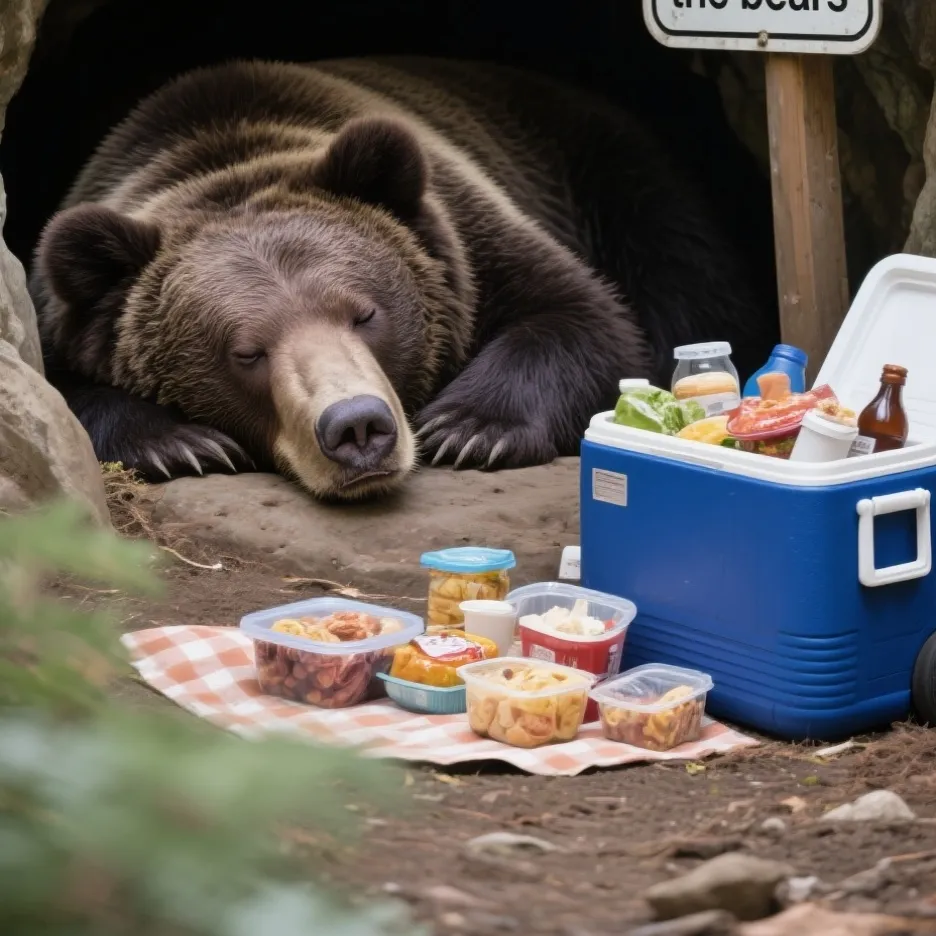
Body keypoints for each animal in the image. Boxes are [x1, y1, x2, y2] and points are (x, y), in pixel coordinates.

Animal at [29, 56, 774, 502]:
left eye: (365, 314)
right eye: (246, 351)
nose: (358, 427)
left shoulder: (470, 236)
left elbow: (582, 316)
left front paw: (469, 427)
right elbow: (59, 383)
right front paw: (178, 445)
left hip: (616, 175)